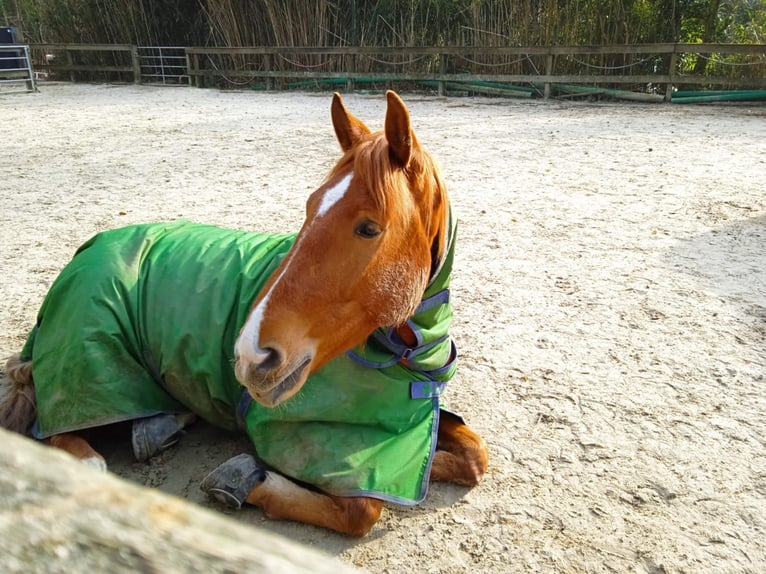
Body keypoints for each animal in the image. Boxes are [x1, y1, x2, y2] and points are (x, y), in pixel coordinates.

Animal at [0, 92, 488, 536]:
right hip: (86, 365)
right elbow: (362, 509)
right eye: (309, 207)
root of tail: (85, 253)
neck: (405, 351)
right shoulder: (315, 437)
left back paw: (164, 422)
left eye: (369, 228)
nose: (251, 356)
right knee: (59, 424)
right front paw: (246, 480)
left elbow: (472, 456)